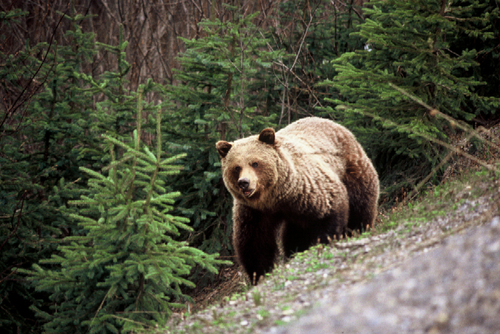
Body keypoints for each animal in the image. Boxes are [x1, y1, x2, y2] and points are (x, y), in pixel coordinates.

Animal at [216, 116, 378, 284]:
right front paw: (259, 274)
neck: (274, 198)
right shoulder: (254, 212)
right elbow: (254, 242)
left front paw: (323, 241)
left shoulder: (308, 190)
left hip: (352, 168)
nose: (244, 182)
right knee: (294, 234)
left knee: (361, 205)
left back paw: (360, 229)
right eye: (236, 167)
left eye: (255, 163)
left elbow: (330, 211)